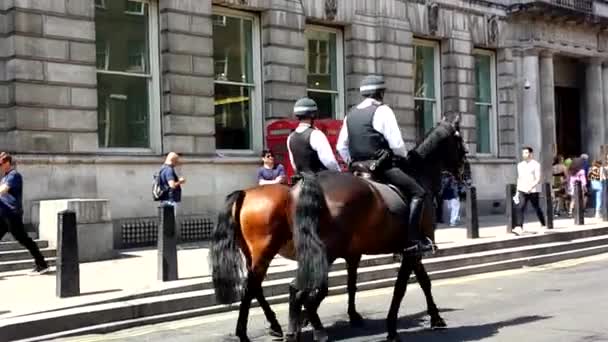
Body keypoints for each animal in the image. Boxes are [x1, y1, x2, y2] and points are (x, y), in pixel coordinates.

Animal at [211, 116, 468, 340]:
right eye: (460, 143)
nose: (465, 173)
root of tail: (245, 193)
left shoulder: (354, 252)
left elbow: (351, 283)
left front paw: (350, 315)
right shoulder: (411, 250)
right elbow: (414, 284)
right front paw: (419, 322)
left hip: (259, 253)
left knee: (261, 287)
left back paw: (276, 327)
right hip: (279, 250)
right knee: (268, 287)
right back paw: (277, 329)